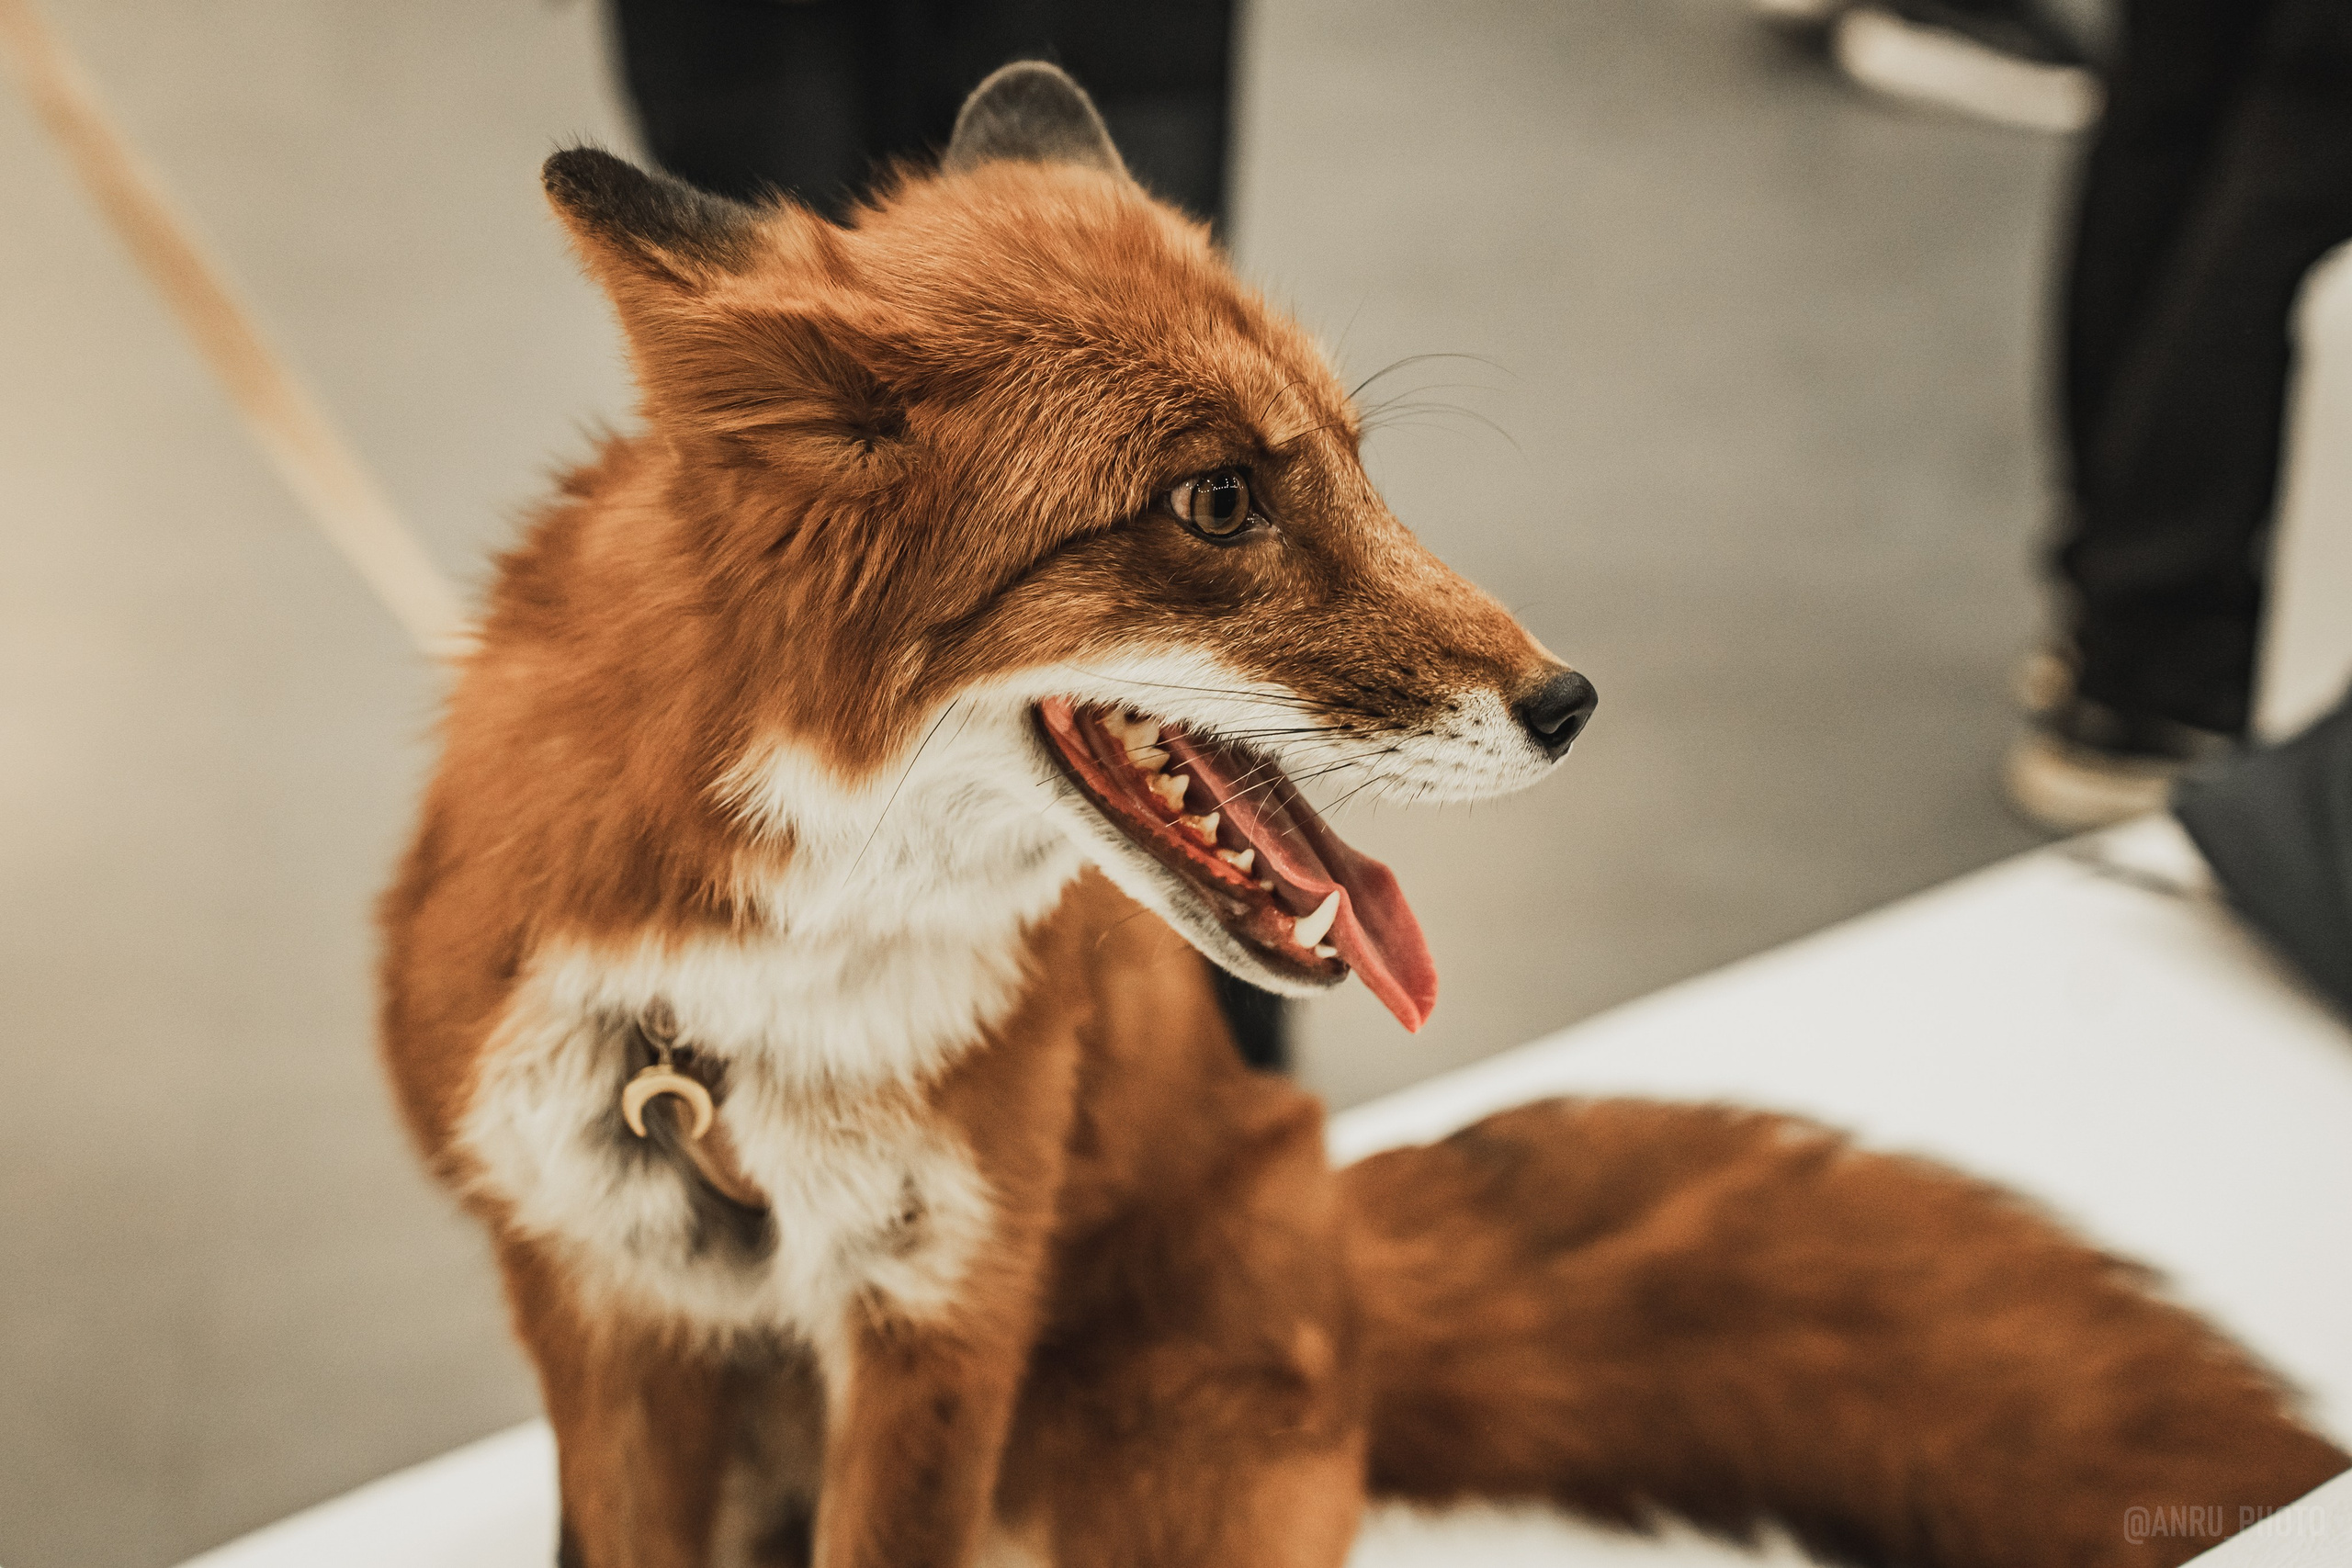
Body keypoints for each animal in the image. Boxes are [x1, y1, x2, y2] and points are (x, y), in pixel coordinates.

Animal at [377, 61, 2345, 1568]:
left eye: (1354, 463)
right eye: (1217, 500)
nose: (1571, 702)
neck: (747, 1015)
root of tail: (1345, 1258)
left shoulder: (942, 1311)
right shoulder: (605, 1305)